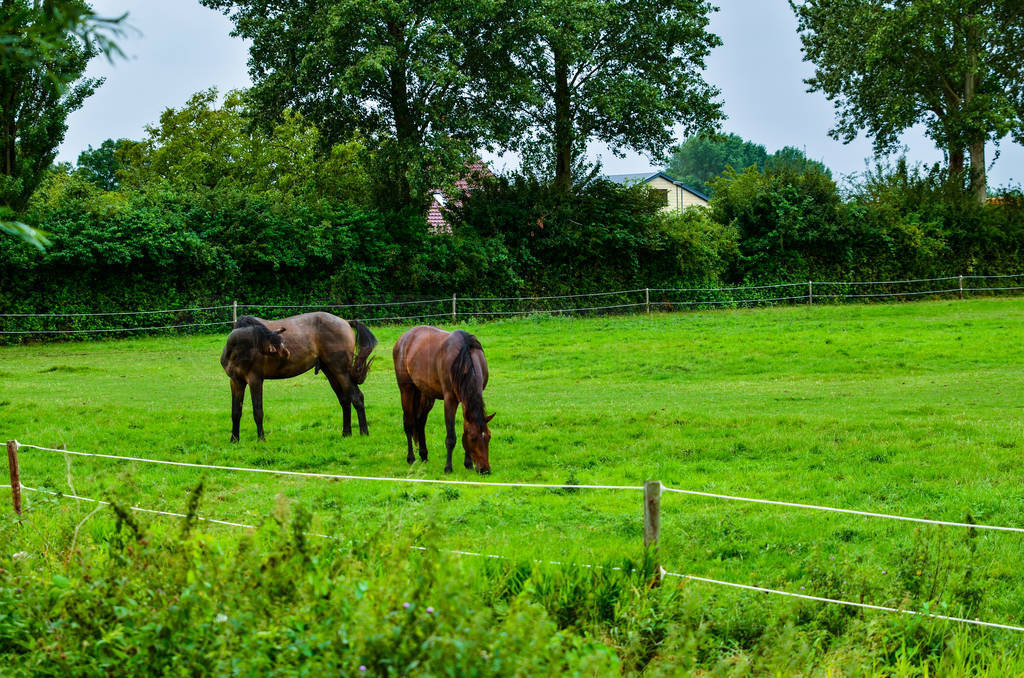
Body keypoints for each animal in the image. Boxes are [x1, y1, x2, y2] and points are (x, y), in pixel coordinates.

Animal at [219, 315, 376, 444]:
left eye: (282, 342)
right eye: (275, 345)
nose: (287, 354)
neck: (238, 350)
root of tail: (345, 322)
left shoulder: (255, 380)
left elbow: (258, 411)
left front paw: (261, 439)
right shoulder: (236, 381)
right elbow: (236, 412)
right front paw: (234, 440)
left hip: (341, 371)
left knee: (356, 397)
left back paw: (364, 433)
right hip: (331, 372)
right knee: (345, 400)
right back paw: (346, 433)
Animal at [393, 327, 493, 475]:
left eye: (489, 437)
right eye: (473, 438)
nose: (485, 470)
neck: (464, 359)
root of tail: (403, 338)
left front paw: (468, 463)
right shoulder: (450, 400)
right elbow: (451, 437)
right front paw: (448, 467)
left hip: (426, 394)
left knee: (420, 422)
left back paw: (424, 455)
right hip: (406, 390)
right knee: (409, 423)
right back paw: (411, 458)